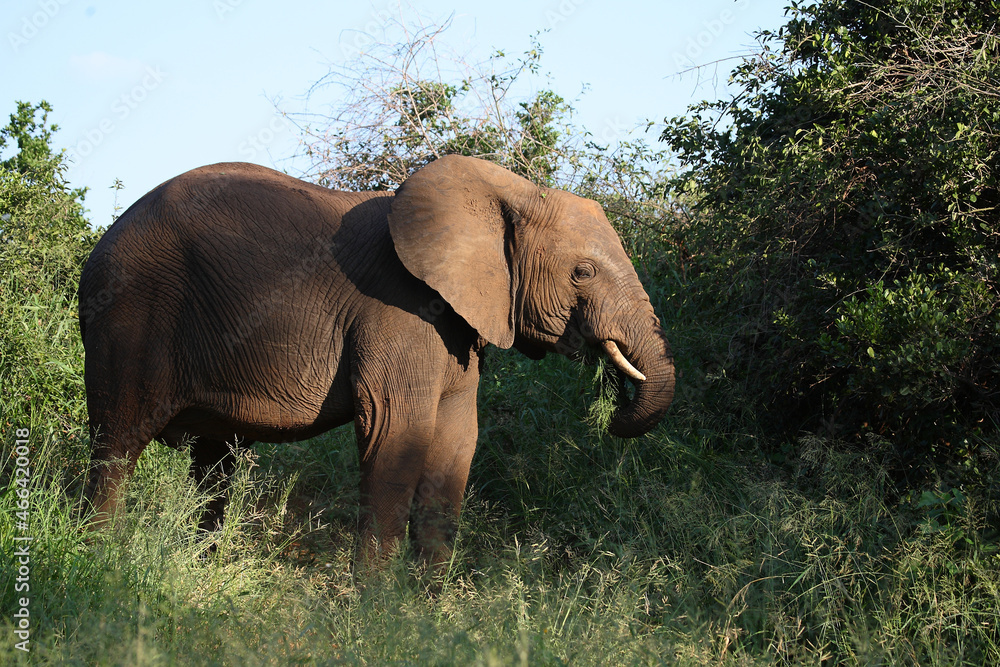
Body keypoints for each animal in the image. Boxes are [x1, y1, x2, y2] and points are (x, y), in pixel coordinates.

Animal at [78, 154, 675, 567]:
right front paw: (375, 612)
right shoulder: (399, 311)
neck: (505, 191)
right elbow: (395, 431)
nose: (615, 408)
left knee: (215, 465)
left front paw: (429, 617)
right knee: (116, 446)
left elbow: (458, 442)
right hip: (130, 311)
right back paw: (98, 563)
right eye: (583, 273)